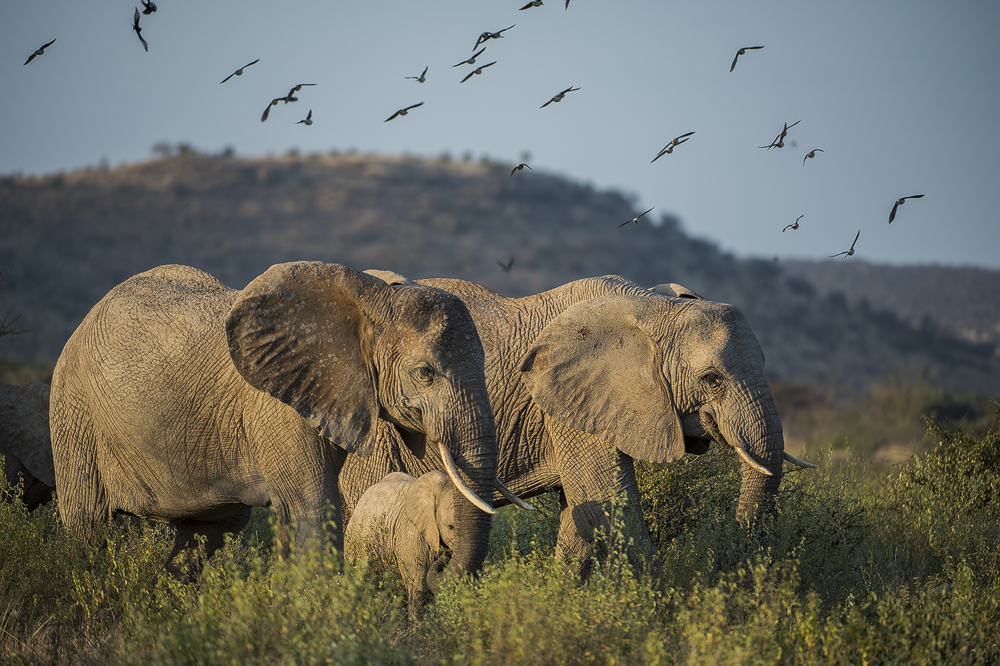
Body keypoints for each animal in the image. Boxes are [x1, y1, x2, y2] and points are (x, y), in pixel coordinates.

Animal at [48, 262, 500, 584]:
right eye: (425, 373)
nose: (441, 566)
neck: (372, 299)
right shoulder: (280, 409)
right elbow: (313, 508)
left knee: (206, 534)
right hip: (73, 410)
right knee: (87, 525)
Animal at [340, 270, 816, 572]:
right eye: (712, 379)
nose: (737, 555)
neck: (652, 305)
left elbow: (581, 514)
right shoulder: (566, 401)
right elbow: (606, 501)